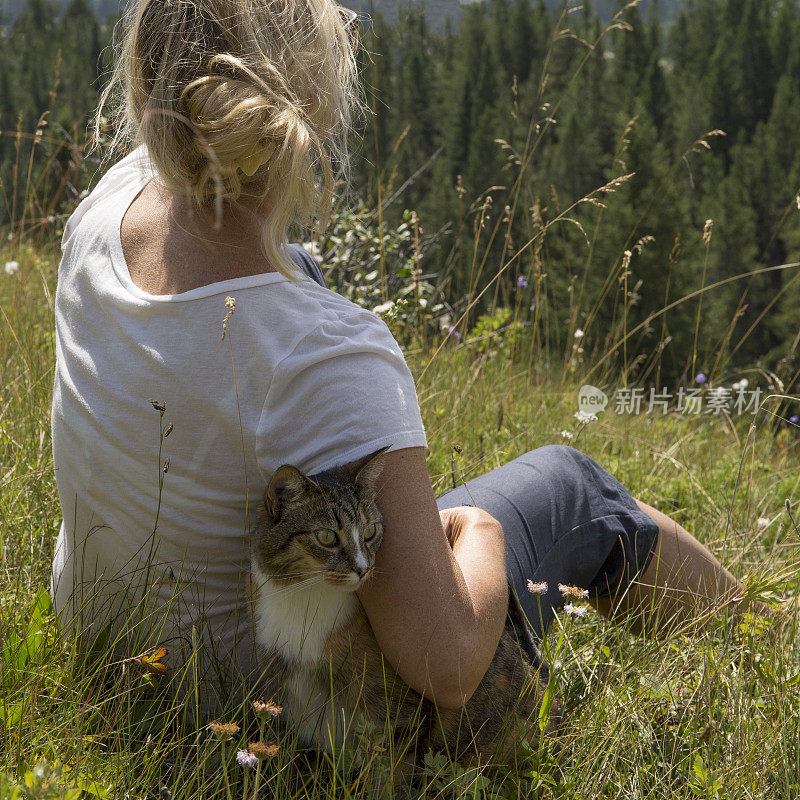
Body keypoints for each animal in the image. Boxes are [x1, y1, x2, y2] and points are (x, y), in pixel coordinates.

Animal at [250, 446, 556, 764]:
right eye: (326, 537)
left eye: (370, 531)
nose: (363, 569)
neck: (306, 598)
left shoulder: (400, 712)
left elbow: (392, 769)